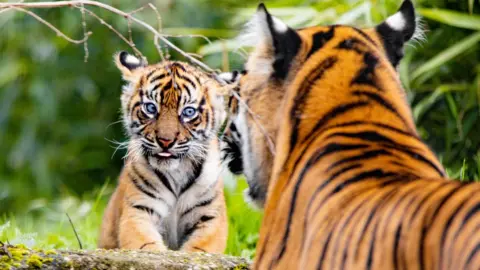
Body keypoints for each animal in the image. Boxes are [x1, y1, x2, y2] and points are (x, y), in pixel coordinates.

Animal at [98, 52, 233, 253]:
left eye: (188, 112)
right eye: (151, 108)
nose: (165, 141)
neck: (177, 172)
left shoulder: (210, 217)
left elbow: (199, 249)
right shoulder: (138, 210)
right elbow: (145, 245)